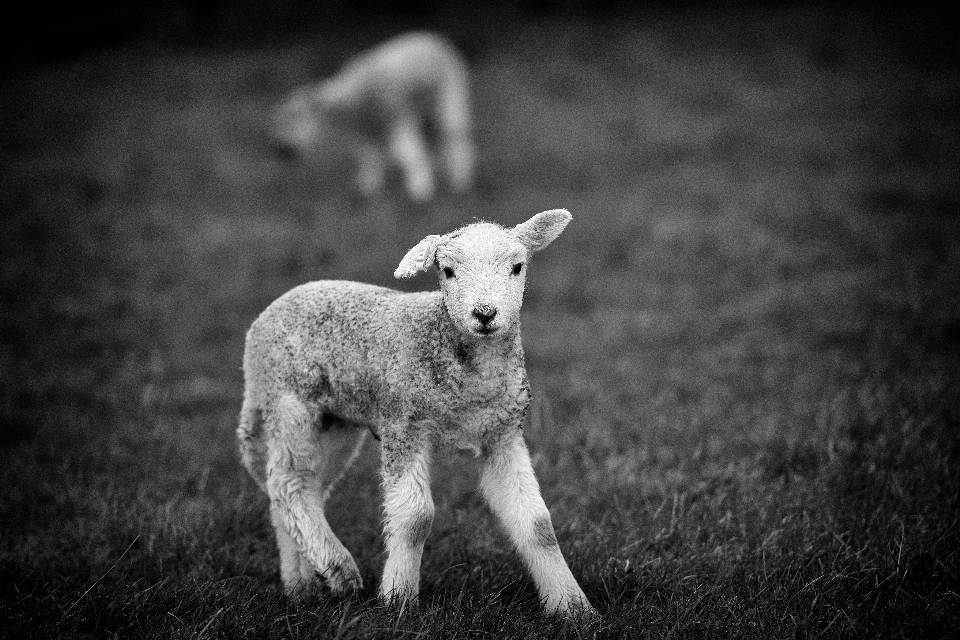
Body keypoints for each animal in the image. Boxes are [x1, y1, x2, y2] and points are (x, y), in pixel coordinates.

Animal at [236, 209, 592, 616]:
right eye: (448, 271)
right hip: (287, 402)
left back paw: (301, 583)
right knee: (288, 483)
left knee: (304, 489)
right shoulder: (404, 426)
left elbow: (537, 524)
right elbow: (415, 518)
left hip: (335, 422)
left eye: (518, 267)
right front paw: (398, 600)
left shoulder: (502, 434)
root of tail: (274, 307)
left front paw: (573, 608)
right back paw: (340, 571)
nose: (485, 314)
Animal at [272, 30, 474, 202]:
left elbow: (404, 154)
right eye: (278, 124)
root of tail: (433, 39)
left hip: (444, 93)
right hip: (429, 102)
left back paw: (454, 182)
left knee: (450, 135)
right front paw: (367, 188)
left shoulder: (391, 116)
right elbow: (369, 156)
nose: (281, 151)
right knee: (445, 137)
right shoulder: (367, 126)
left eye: (294, 119)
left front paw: (419, 192)